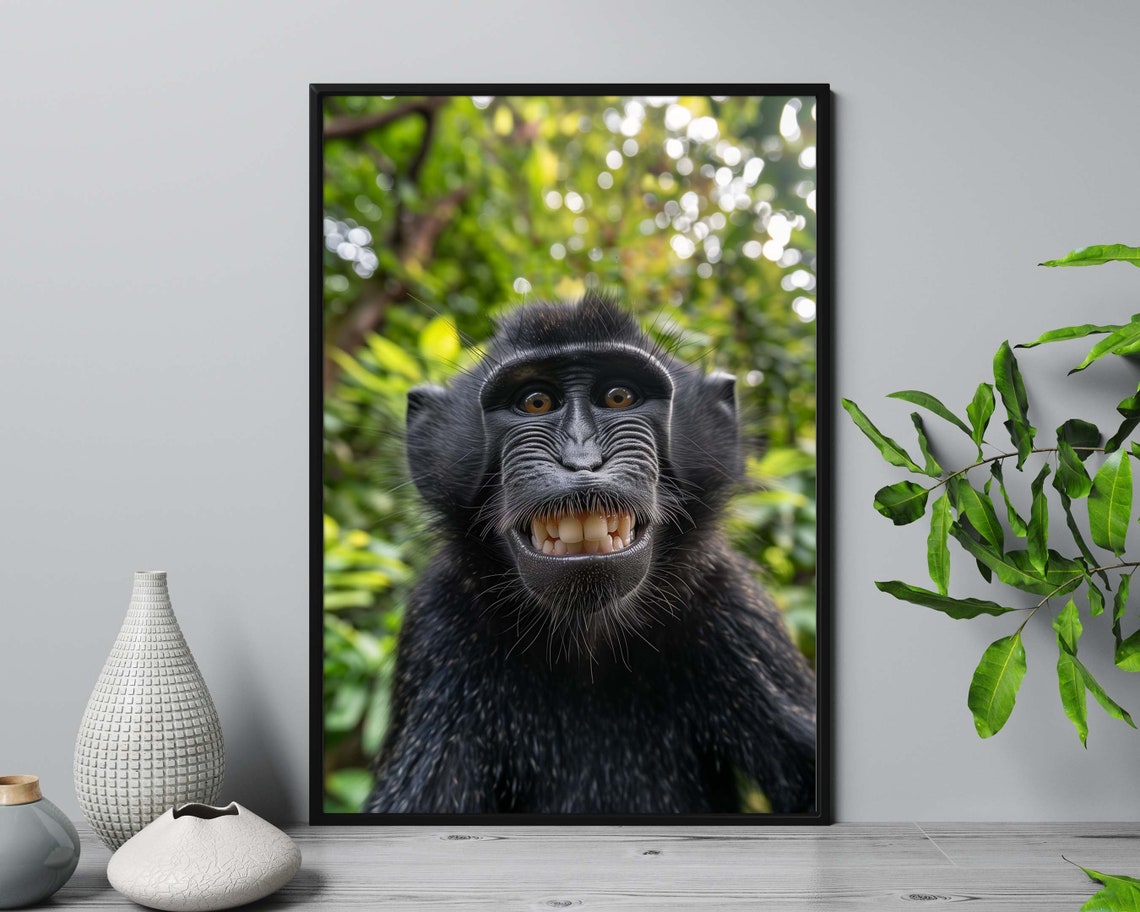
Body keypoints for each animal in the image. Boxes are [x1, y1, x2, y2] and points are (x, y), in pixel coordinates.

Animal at [364, 292, 816, 815]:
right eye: (535, 401)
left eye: (619, 397)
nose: (582, 461)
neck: (587, 639)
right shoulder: (437, 627)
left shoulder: (735, 610)